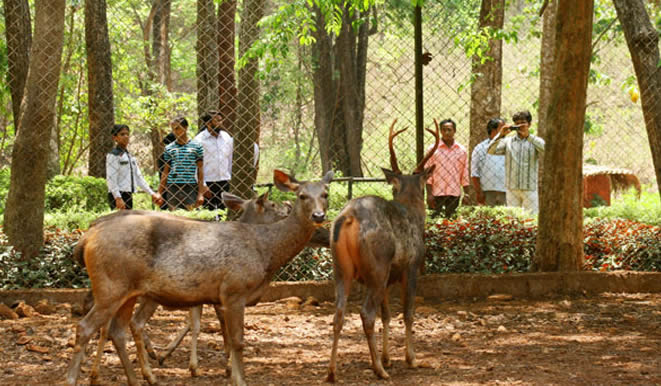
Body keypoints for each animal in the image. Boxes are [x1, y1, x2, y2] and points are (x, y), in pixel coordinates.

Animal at [326, 119, 438, 382]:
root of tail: (348, 216)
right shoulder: (411, 266)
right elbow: (407, 312)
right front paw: (411, 359)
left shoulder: (389, 277)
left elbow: (387, 314)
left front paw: (387, 356)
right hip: (377, 264)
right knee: (366, 313)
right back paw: (379, 370)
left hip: (342, 268)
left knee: (338, 314)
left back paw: (333, 372)